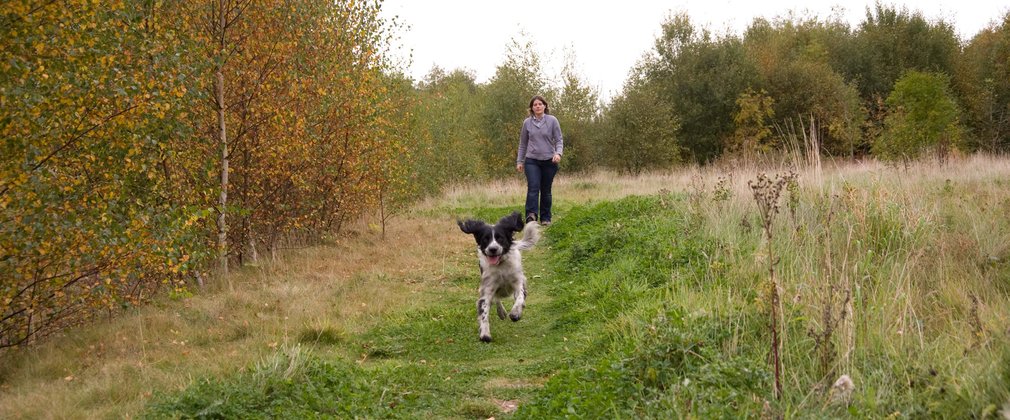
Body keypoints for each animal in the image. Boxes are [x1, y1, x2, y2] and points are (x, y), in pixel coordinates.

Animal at [456, 212, 537, 343]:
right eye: (485, 239)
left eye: (500, 238)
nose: (493, 249)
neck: (500, 265)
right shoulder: (487, 288)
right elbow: (484, 309)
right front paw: (485, 334)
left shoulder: (518, 281)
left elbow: (520, 296)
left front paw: (515, 313)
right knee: (496, 299)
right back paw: (501, 312)